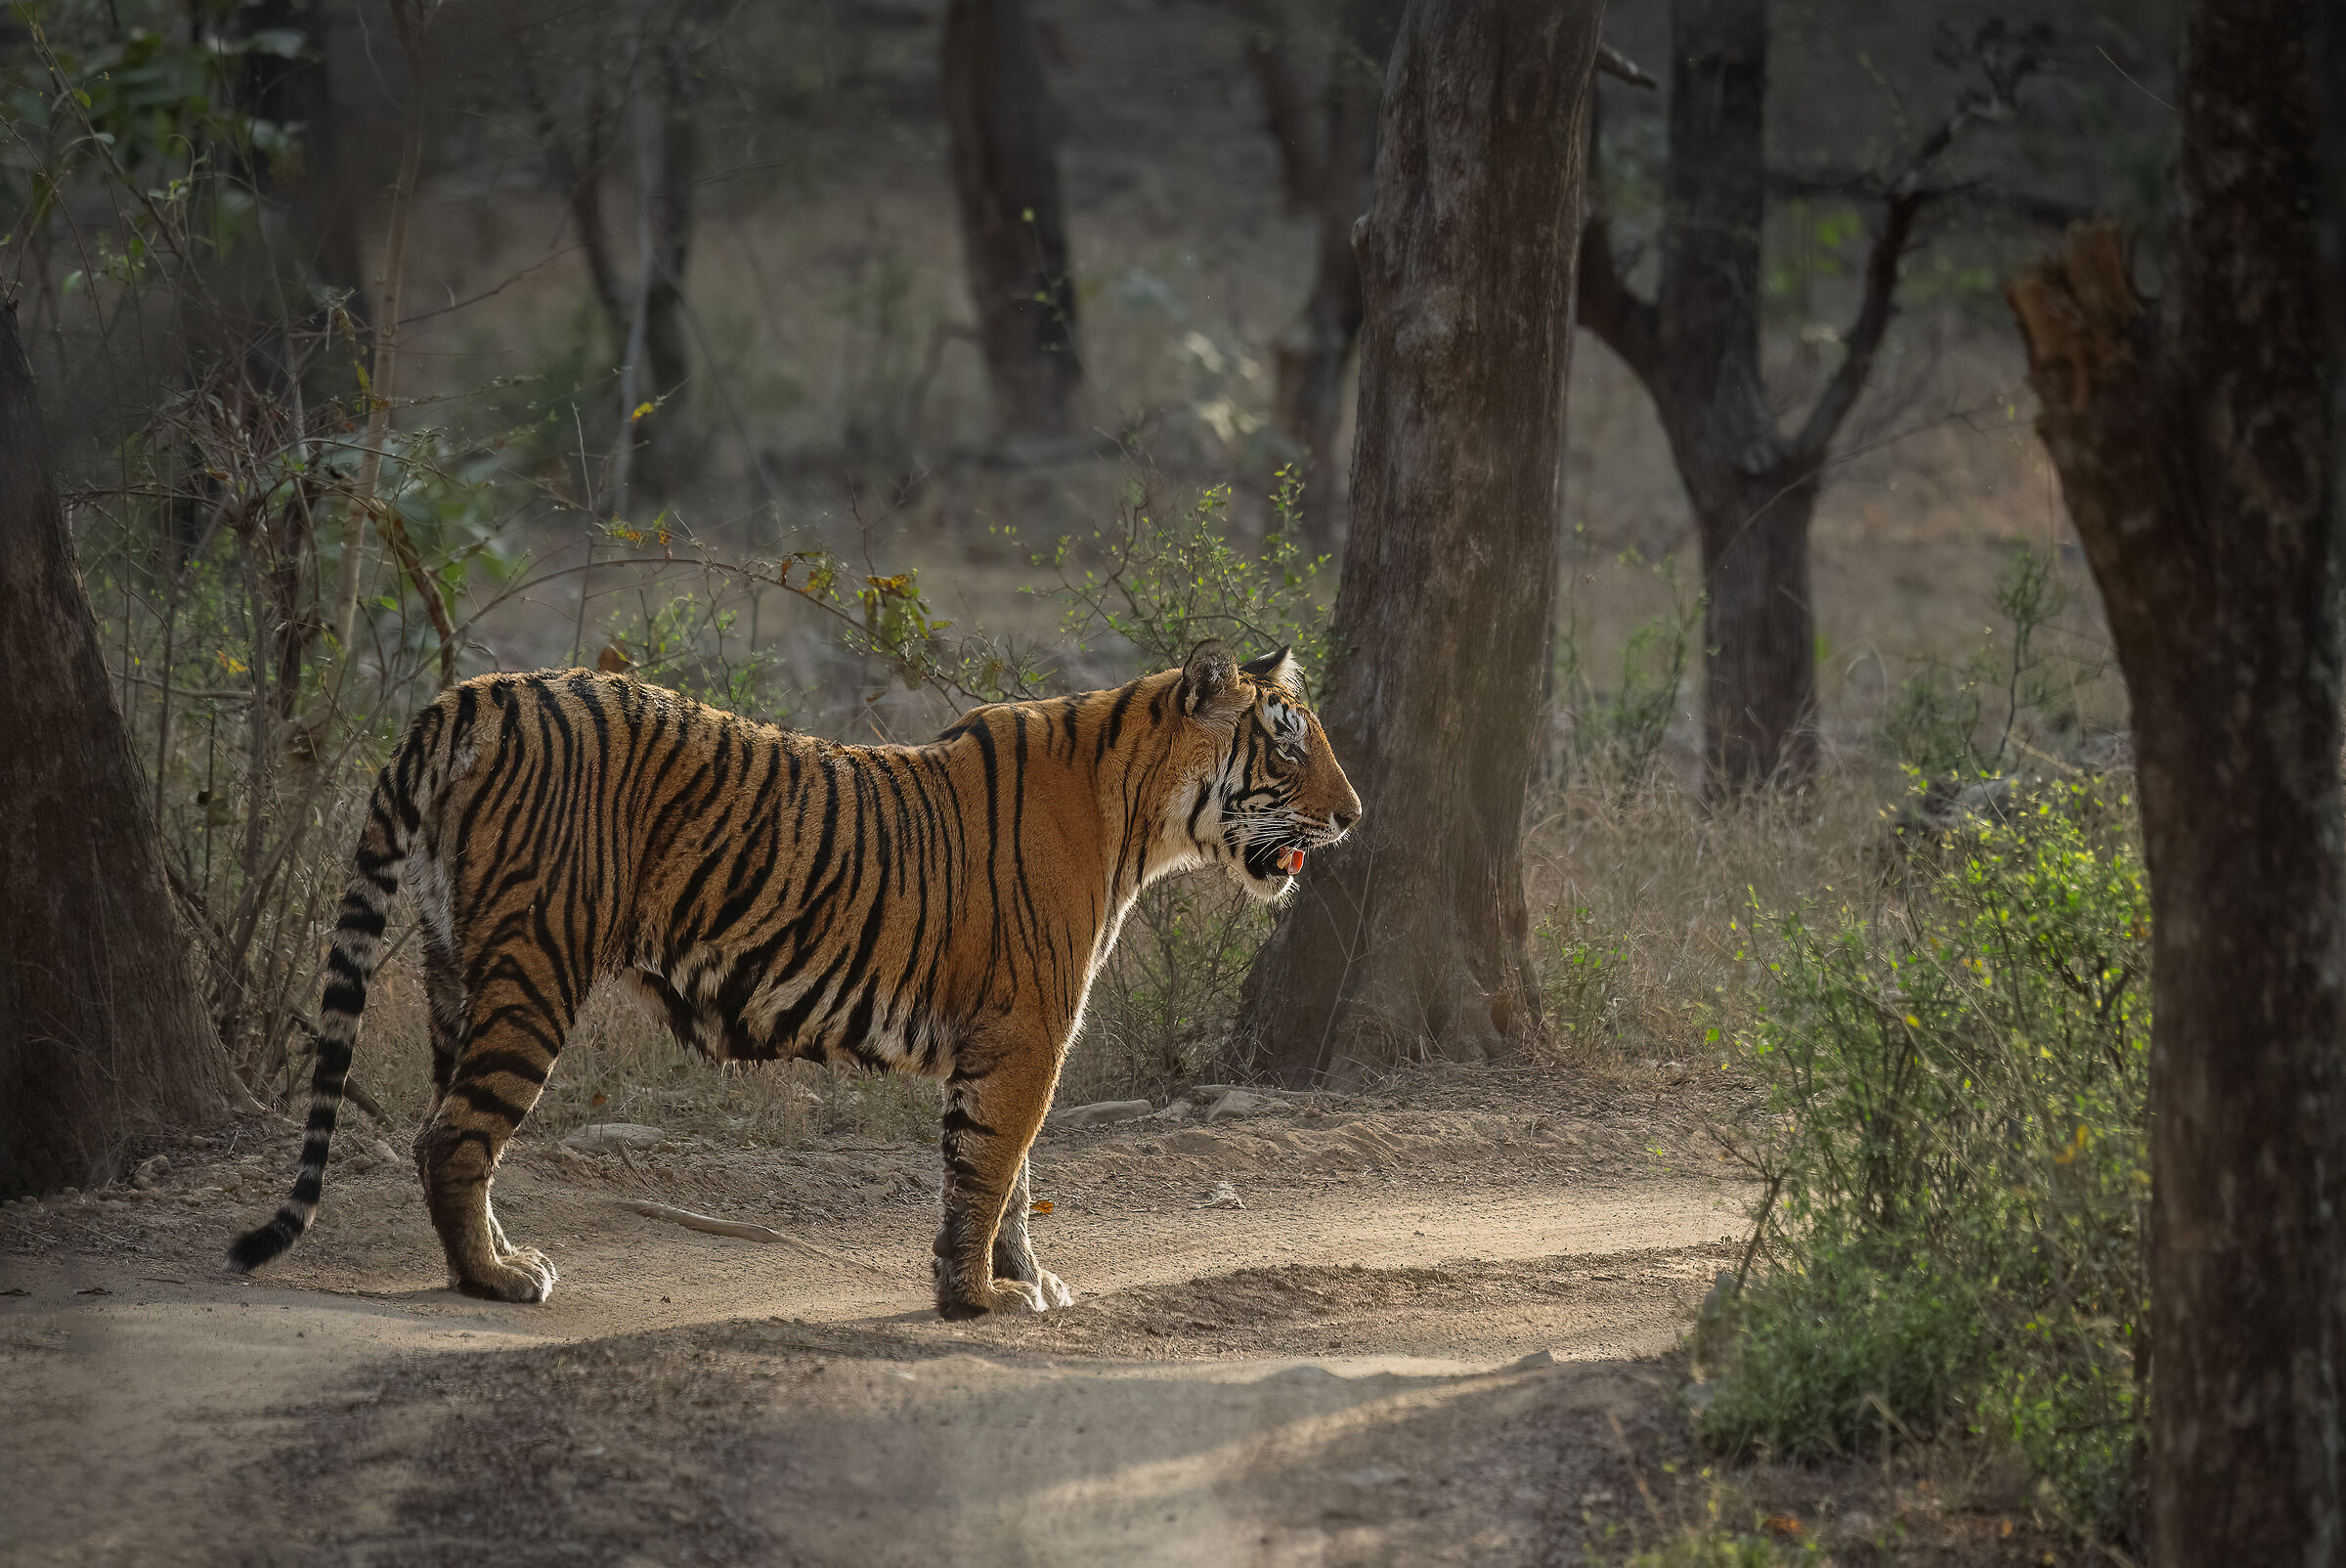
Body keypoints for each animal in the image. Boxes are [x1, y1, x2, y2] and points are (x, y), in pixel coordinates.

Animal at [227, 640, 1360, 1316]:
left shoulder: (1013, 1035)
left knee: (447, 1127)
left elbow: (1012, 1176)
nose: (1354, 814)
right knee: (454, 1134)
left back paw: (503, 1259)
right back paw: (499, 1280)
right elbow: (990, 1169)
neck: (1143, 816)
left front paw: (1021, 1279)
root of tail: (471, 694)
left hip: (456, 963)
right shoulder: (1027, 1030)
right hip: (537, 966)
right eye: (1287, 746)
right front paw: (980, 1298)